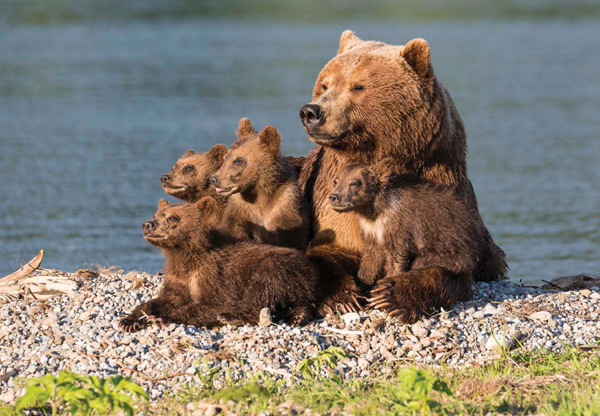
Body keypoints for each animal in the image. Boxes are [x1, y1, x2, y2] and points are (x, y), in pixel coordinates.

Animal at [298, 30, 506, 316]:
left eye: (357, 86)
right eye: (324, 85)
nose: (311, 112)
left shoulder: (438, 187)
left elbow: (446, 267)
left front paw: (391, 294)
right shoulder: (330, 198)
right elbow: (331, 248)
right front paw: (343, 297)